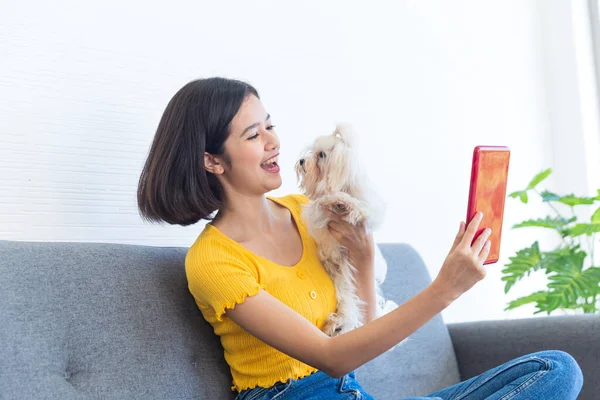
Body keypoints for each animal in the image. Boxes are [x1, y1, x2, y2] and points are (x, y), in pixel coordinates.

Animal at [294, 122, 400, 338]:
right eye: (311, 151)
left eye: (321, 155)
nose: (301, 161)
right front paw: (335, 201)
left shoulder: (370, 207)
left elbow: (361, 208)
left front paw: (345, 204)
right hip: (343, 277)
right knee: (349, 302)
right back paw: (339, 323)